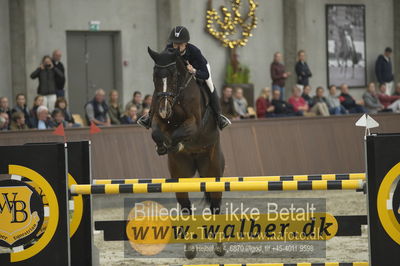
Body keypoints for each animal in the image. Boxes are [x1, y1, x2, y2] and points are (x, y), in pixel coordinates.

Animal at [147, 46, 227, 258]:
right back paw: (190, 248)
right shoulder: (158, 118)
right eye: (154, 77)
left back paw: (219, 247)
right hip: (180, 173)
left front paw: (174, 144)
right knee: (185, 207)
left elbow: (180, 133)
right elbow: (156, 132)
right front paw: (162, 146)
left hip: (212, 170)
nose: (165, 109)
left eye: (174, 76)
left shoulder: (194, 123)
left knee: (215, 205)